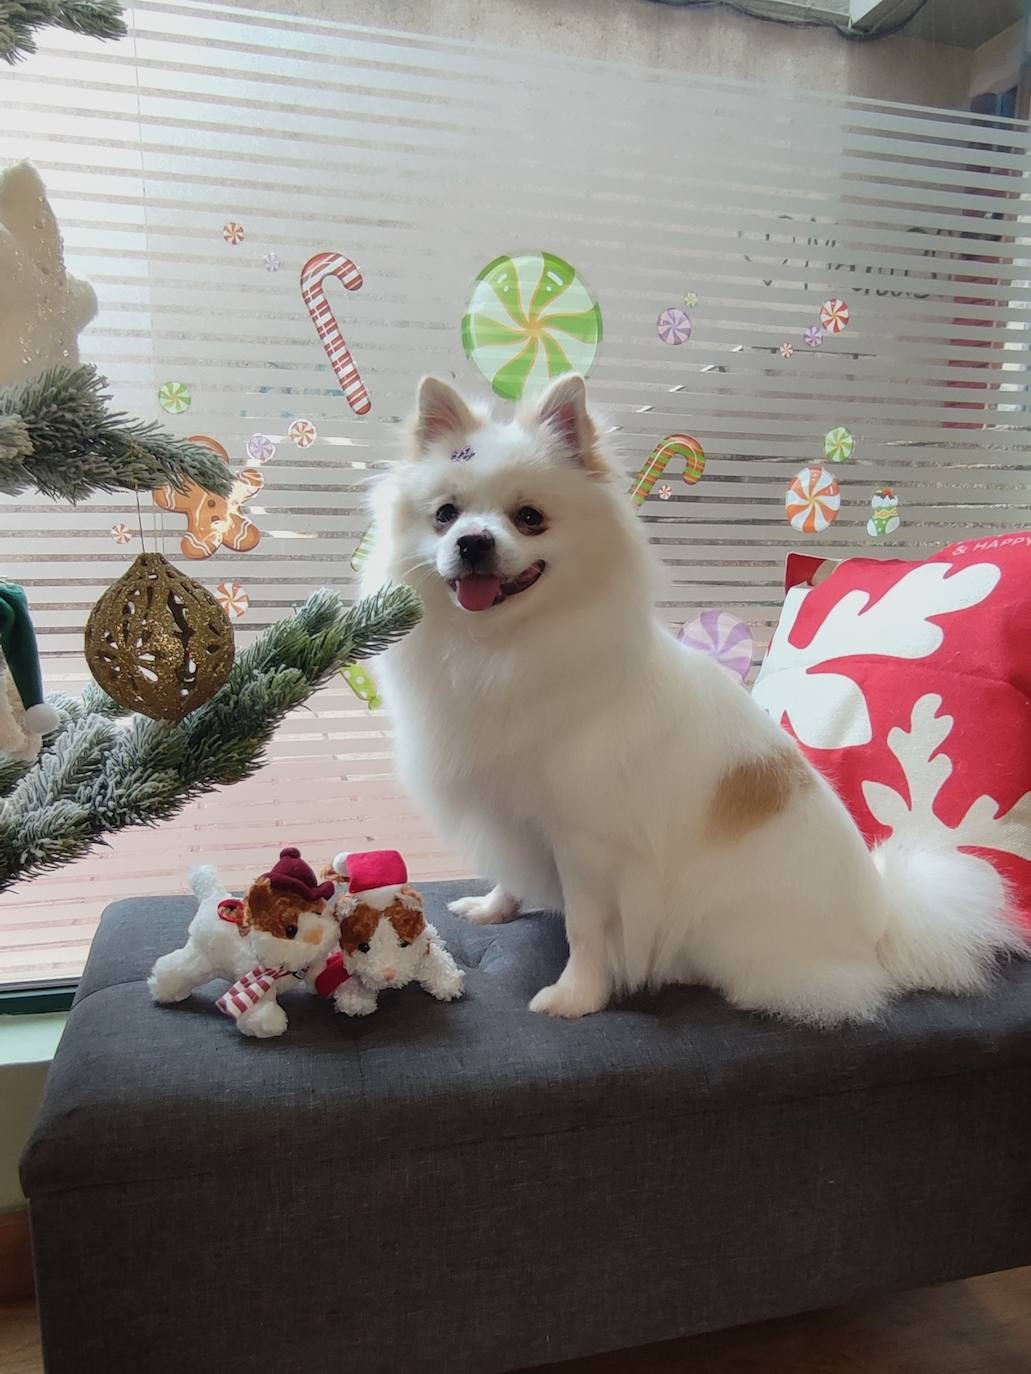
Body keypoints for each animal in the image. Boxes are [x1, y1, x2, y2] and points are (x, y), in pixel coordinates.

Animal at [360, 376, 1028, 1022]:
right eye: (446, 515)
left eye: (529, 518)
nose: (472, 541)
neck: (499, 650)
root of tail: (884, 925)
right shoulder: (516, 816)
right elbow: (510, 872)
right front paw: (493, 906)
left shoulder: (586, 842)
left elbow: (585, 929)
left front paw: (577, 996)